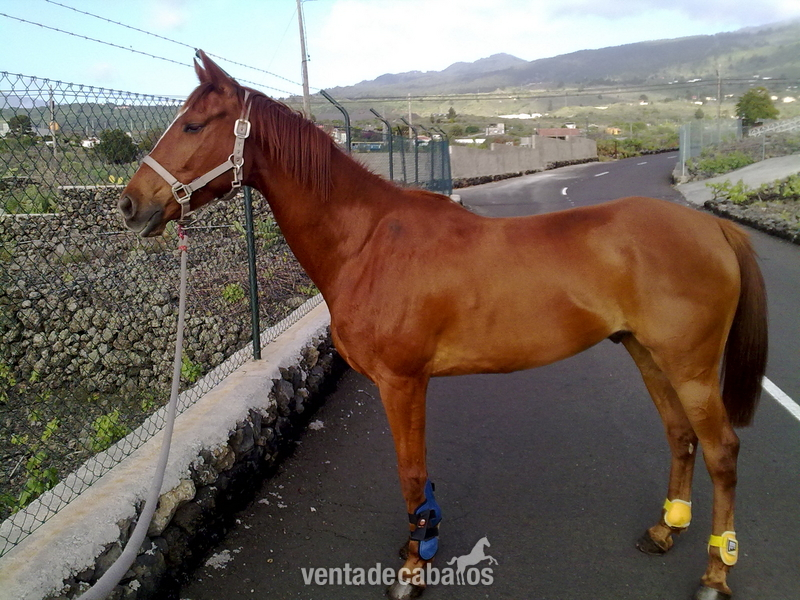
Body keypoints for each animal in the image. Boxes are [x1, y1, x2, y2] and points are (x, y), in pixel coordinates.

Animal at [118, 51, 767, 600]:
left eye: (193, 125)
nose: (129, 205)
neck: (366, 241)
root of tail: (713, 227)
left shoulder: (402, 382)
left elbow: (411, 473)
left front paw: (413, 568)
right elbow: (420, 475)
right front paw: (421, 542)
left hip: (690, 368)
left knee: (723, 451)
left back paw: (716, 574)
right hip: (648, 354)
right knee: (680, 437)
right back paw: (665, 532)